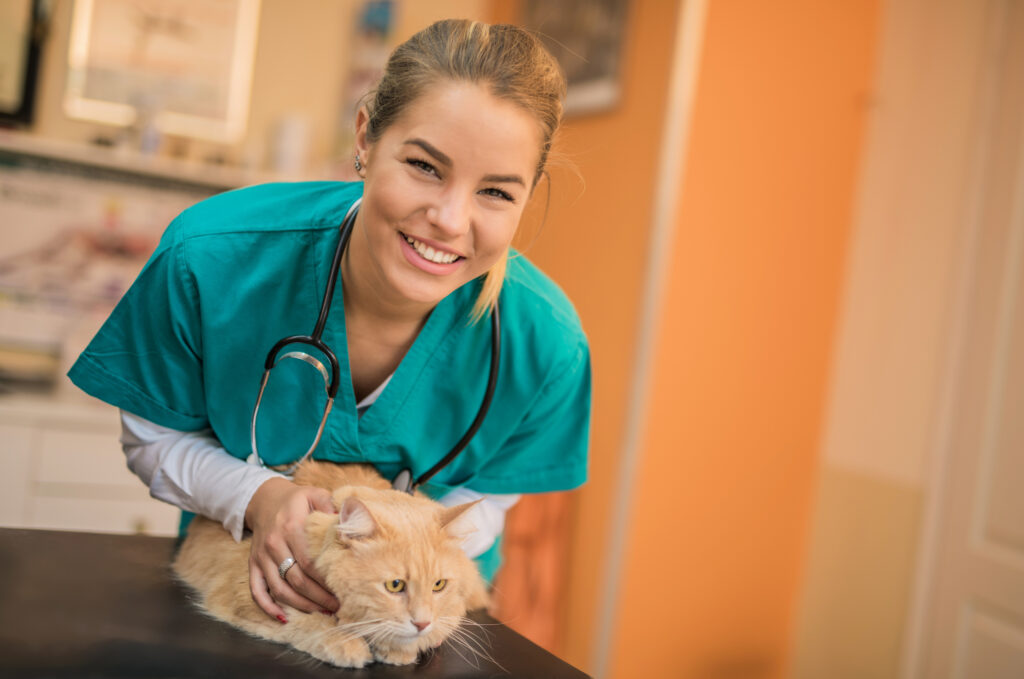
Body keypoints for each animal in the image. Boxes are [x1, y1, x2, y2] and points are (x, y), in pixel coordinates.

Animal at [173, 462, 491, 667]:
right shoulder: (244, 595)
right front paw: (347, 644)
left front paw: (400, 648)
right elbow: (304, 621)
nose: (422, 622)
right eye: (394, 585)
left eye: (439, 585)